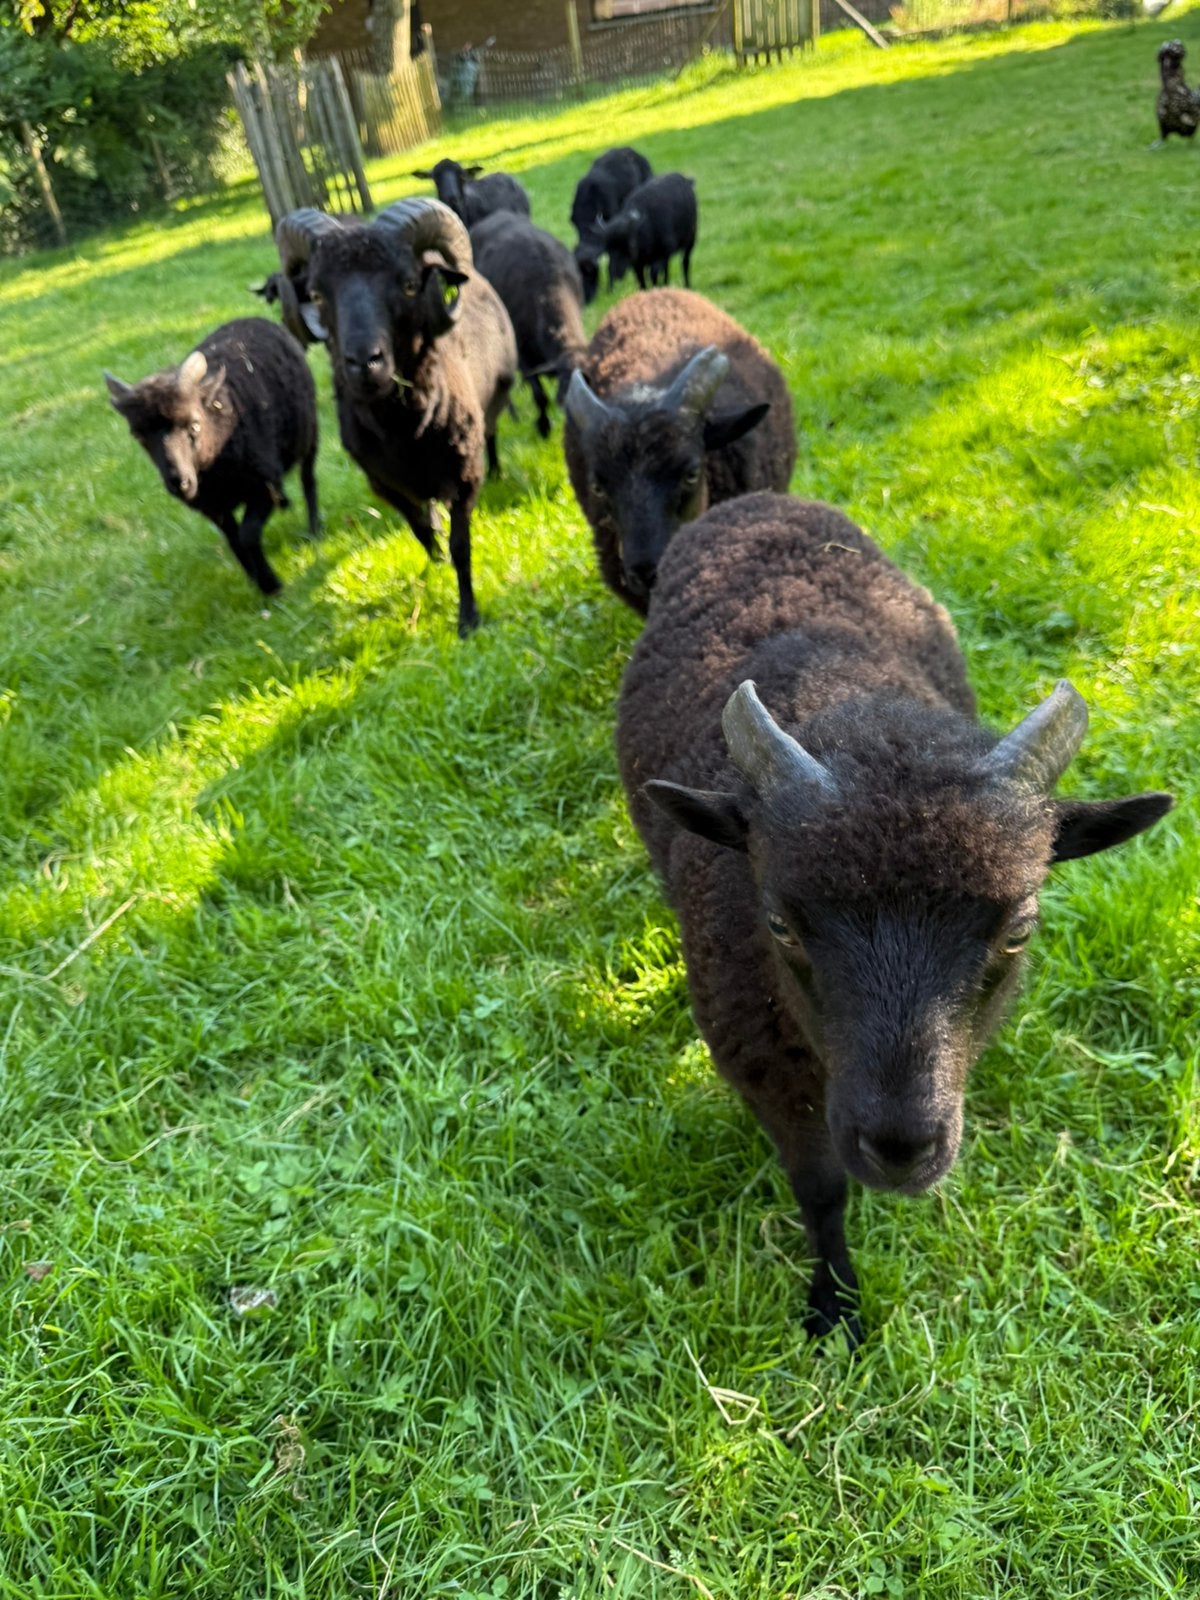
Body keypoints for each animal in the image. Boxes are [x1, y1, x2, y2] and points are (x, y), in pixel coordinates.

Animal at [103, 316, 318, 597]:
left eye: (194, 425)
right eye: (139, 436)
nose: (180, 484)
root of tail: (251, 319)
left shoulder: (262, 486)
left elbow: (247, 535)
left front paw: (271, 586)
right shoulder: (214, 507)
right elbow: (234, 540)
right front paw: (255, 580)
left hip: (310, 432)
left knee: (308, 479)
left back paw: (315, 531)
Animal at [273, 198, 517, 636]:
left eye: (408, 285)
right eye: (316, 293)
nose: (363, 363)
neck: (404, 430)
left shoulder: (465, 474)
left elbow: (461, 545)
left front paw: (468, 617)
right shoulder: (381, 482)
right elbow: (420, 527)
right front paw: (435, 562)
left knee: (491, 435)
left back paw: (499, 470)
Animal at [617, 492, 1174, 1343]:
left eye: (1020, 928)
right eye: (778, 924)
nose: (901, 1148)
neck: (846, 697)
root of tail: (753, 500)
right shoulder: (763, 1065)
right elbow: (819, 1186)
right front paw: (836, 1305)